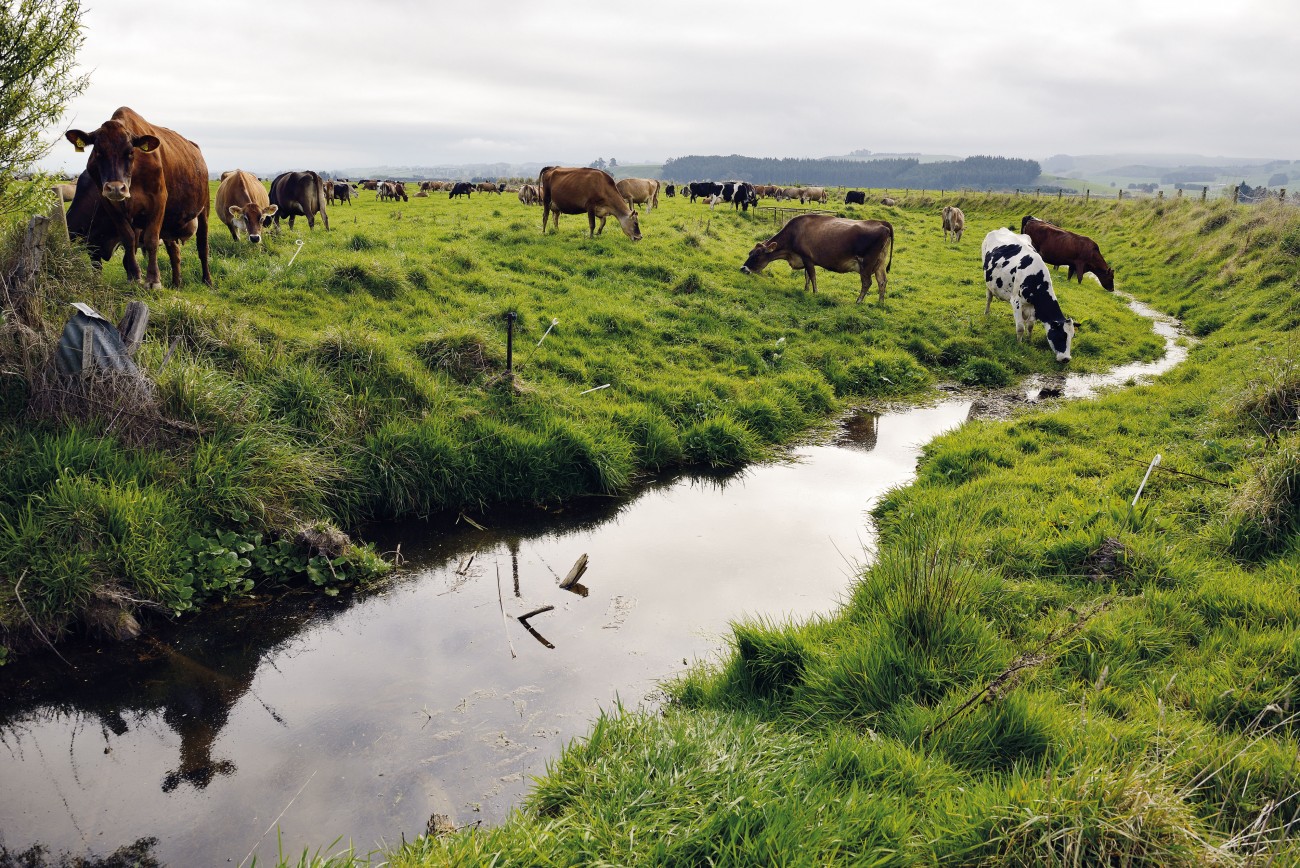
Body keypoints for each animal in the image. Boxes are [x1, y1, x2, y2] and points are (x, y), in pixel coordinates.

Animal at [63, 105, 209, 288]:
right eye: (98, 152)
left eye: (130, 152)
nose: (116, 188)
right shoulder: (110, 208)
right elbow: (127, 240)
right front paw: (134, 277)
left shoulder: (158, 201)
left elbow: (151, 240)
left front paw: (153, 281)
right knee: (175, 252)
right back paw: (176, 283)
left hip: (203, 209)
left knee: (203, 247)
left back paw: (207, 281)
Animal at [743, 211, 894, 304]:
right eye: (750, 252)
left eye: (757, 255)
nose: (743, 268)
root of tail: (882, 223)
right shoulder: (804, 259)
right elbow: (807, 276)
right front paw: (805, 290)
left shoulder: (807, 258)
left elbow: (812, 276)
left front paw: (815, 293)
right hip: (880, 263)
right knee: (882, 281)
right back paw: (880, 303)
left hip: (866, 263)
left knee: (867, 282)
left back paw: (858, 301)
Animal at [982, 227, 1076, 363]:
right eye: (1061, 336)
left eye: (1072, 336)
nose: (1066, 359)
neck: (1035, 278)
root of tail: (1001, 229)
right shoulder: (1016, 301)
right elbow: (1021, 327)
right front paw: (1019, 344)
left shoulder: (1033, 307)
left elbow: (1031, 326)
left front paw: (1029, 340)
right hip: (988, 281)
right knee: (989, 298)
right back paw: (986, 313)